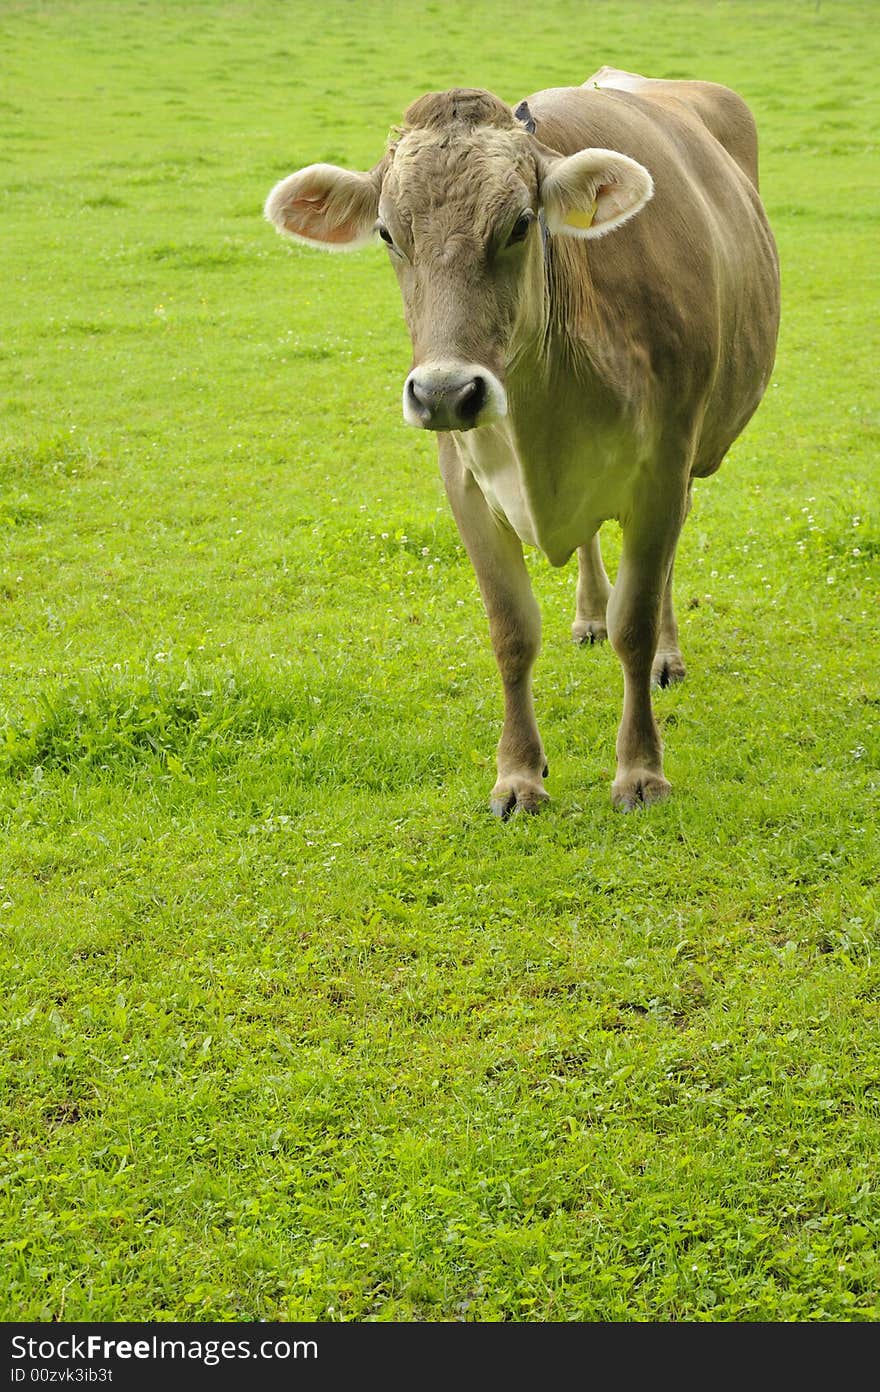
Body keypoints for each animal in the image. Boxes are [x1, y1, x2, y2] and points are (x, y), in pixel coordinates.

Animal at [264, 67, 779, 812]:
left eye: (518, 225)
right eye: (388, 233)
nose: (446, 392)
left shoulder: (663, 465)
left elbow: (635, 621)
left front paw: (640, 769)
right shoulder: (464, 482)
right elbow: (511, 631)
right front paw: (517, 775)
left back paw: (665, 656)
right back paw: (588, 615)